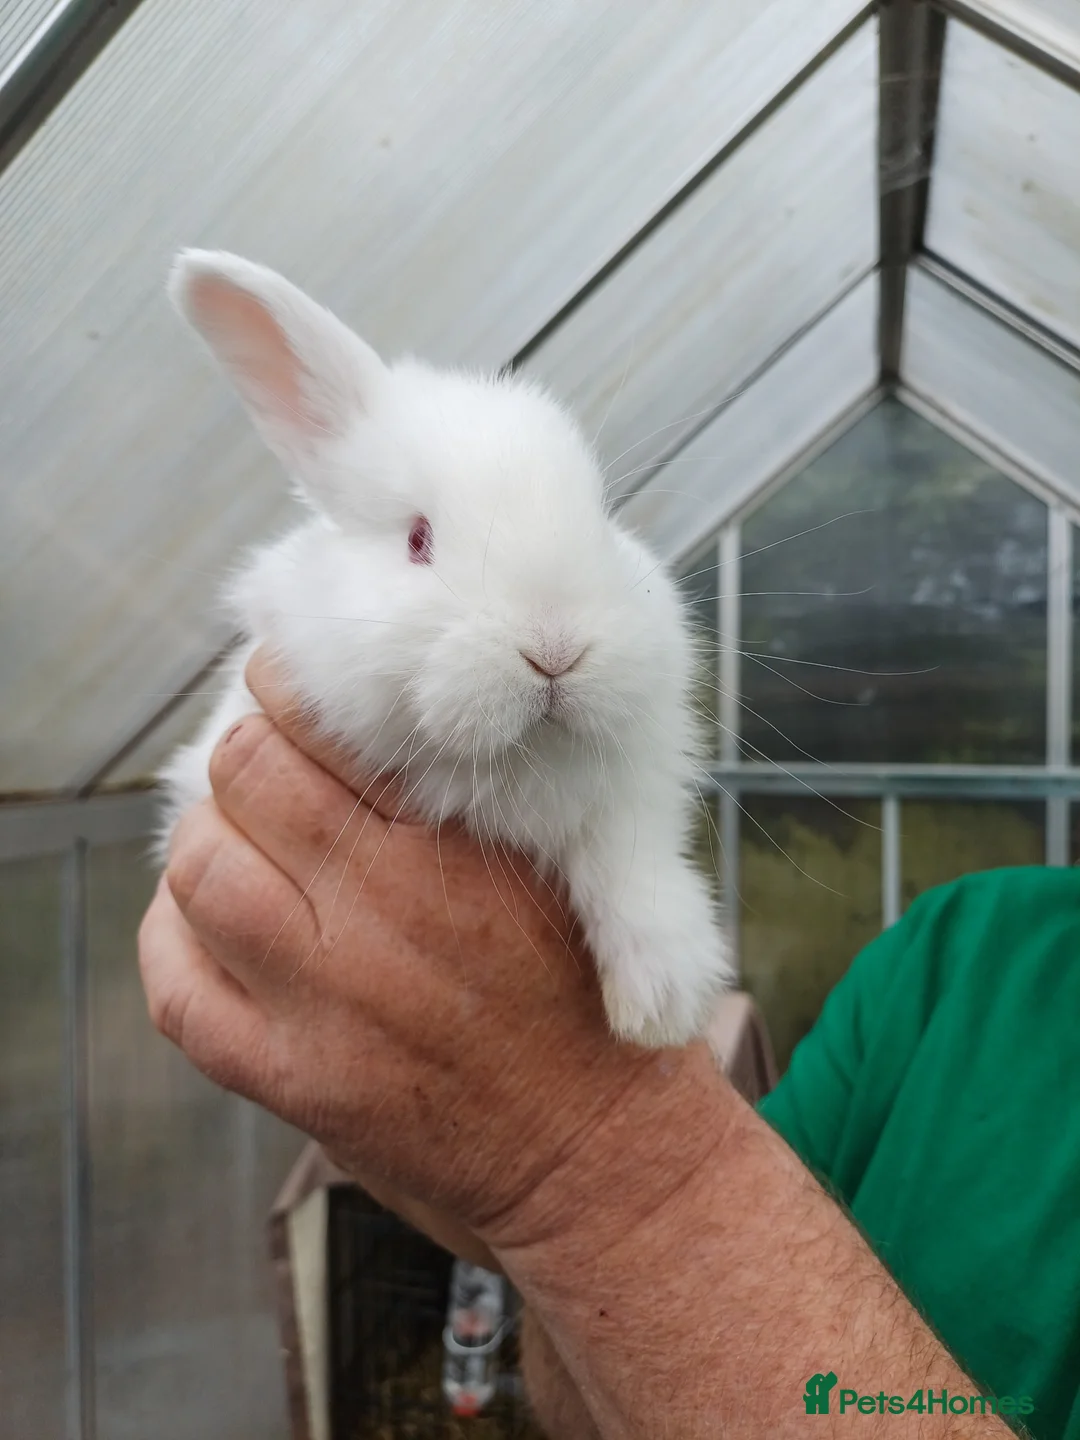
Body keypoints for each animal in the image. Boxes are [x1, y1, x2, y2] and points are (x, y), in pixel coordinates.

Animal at [158, 249, 732, 1047]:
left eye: (604, 520)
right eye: (417, 539)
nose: (555, 650)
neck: (521, 765)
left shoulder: (633, 786)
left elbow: (630, 861)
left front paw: (663, 1007)